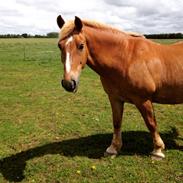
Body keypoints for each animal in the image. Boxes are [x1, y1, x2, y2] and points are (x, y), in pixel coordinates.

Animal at [56, 14, 183, 159]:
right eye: (59, 46)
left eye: (81, 46)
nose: (68, 83)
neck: (127, 59)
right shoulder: (115, 98)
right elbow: (116, 122)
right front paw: (113, 149)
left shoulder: (143, 100)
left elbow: (151, 123)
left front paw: (157, 150)